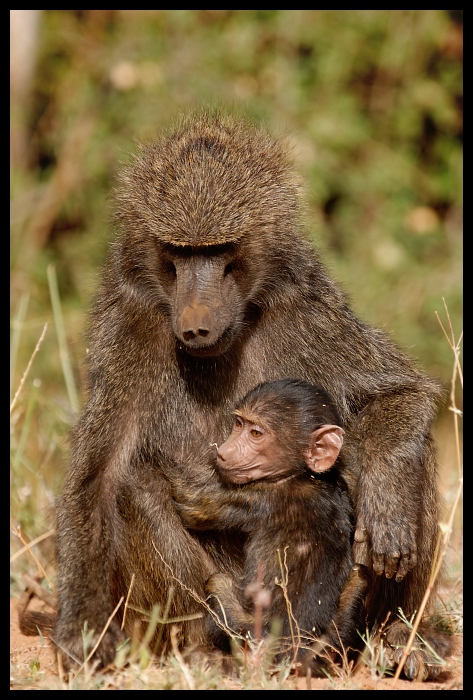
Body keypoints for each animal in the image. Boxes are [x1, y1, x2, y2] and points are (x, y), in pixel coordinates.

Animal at [171, 378, 366, 680]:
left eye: (256, 433)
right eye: (238, 424)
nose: (224, 451)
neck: (300, 475)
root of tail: (291, 649)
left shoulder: (255, 496)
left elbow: (190, 503)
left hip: (248, 632)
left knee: (218, 582)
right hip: (328, 649)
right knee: (360, 577)